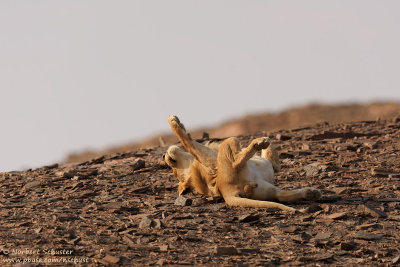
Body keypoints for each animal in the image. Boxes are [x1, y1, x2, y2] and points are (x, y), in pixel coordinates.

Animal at [164, 115, 320, 211]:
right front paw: (173, 121)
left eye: (174, 170)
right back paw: (259, 142)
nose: (165, 156)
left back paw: (312, 193)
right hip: (230, 141)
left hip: (266, 188)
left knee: (281, 195)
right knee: (237, 160)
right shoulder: (209, 158)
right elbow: (188, 142)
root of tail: (226, 191)